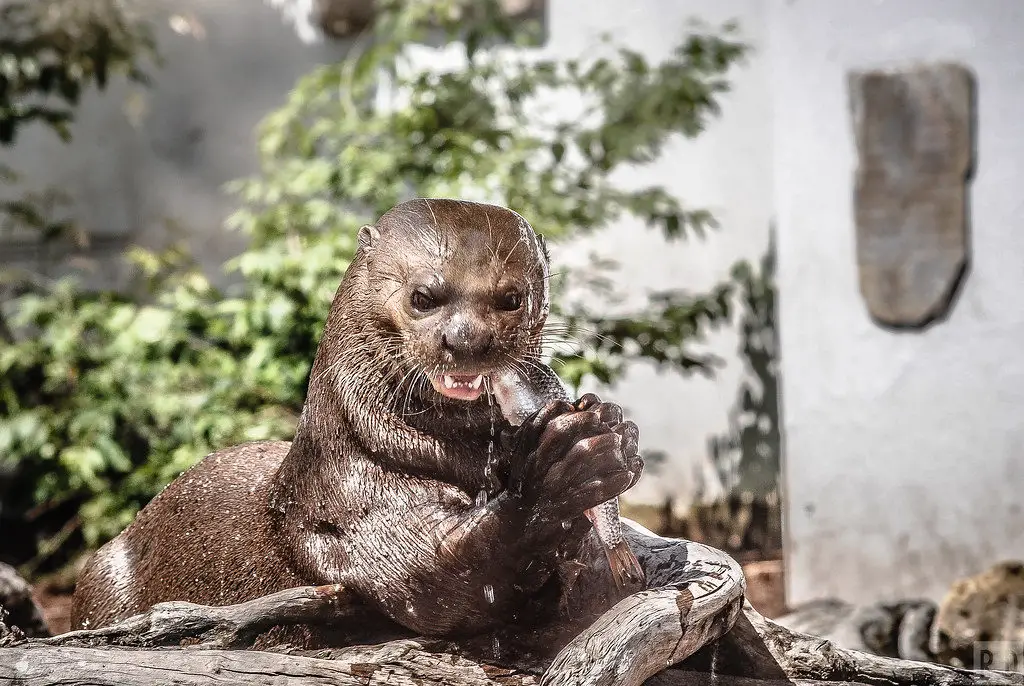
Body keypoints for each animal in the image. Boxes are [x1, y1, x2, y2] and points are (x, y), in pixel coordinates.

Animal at [72, 198, 643, 651]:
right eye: (423, 297)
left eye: (512, 299)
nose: (467, 340)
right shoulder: (346, 504)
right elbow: (435, 584)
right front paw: (561, 468)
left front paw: (611, 427)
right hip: (102, 581)